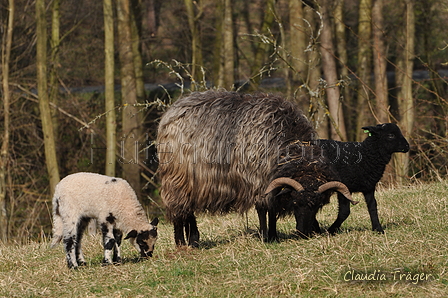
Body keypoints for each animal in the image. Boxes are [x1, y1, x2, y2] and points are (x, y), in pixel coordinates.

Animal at [156, 90, 356, 244]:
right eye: (295, 202)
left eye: (318, 205)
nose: (304, 233)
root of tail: (172, 111)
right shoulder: (257, 181)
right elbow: (263, 210)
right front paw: (265, 236)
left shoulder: (272, 183)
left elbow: (272, 210)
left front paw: (273, 235)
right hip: (177, 177)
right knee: (178, 207)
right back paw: (181, 242)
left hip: (192, 182)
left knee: (188, 209)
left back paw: (194, 240)